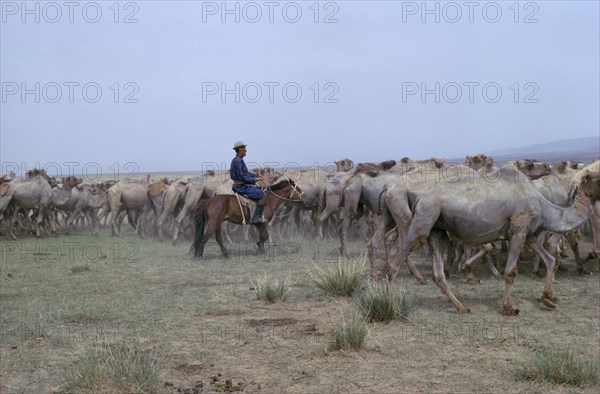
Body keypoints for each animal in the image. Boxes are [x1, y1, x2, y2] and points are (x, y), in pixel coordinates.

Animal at [390, 162, 600, 316]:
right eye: (598, 177)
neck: (545, 206)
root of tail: (420, 198)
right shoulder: (518, 229)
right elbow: (511, 271)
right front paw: (509, 308)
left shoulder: (529, 234)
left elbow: (550, 260)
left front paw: (548, 297)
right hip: (425, 218)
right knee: (397, 260)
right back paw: (390, 302)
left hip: (437, 229)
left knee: (438, 273)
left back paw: (462, 307)